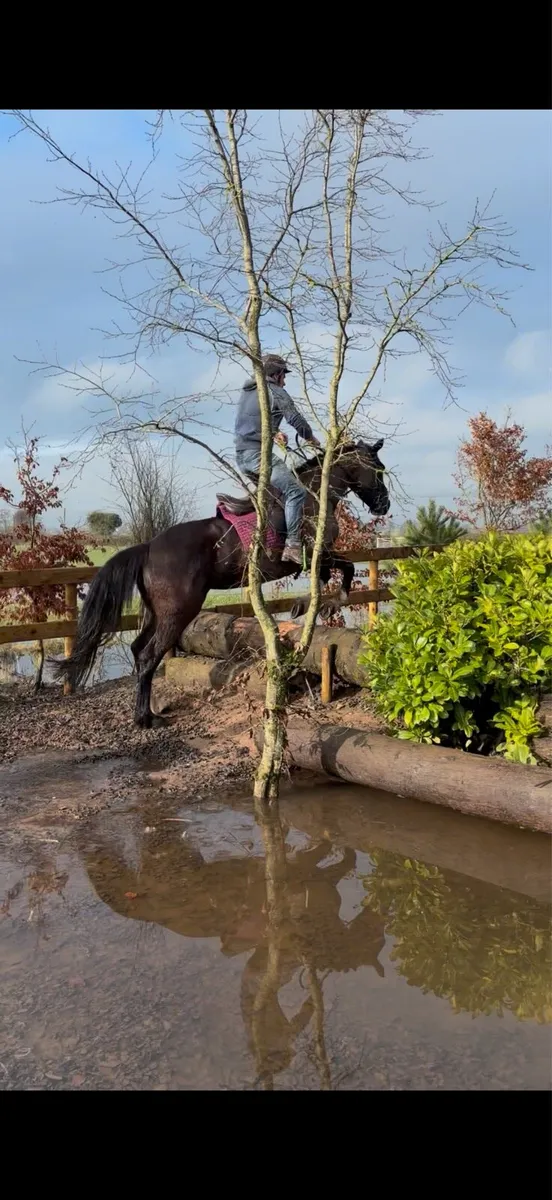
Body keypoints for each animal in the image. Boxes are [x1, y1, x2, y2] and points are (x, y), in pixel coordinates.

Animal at [55, 438, 389, 727]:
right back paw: (145, 719)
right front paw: (334, 600)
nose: (383, 506)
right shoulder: (315, 554)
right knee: (149, 656)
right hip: (178, 611)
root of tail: (148, 547)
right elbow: (345, 570)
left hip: (156, 613)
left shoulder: (317, 561)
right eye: (379, 469)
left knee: (138, 650)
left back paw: (147, 710)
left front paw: (305, 606)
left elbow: (324, 582)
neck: (313, 496)